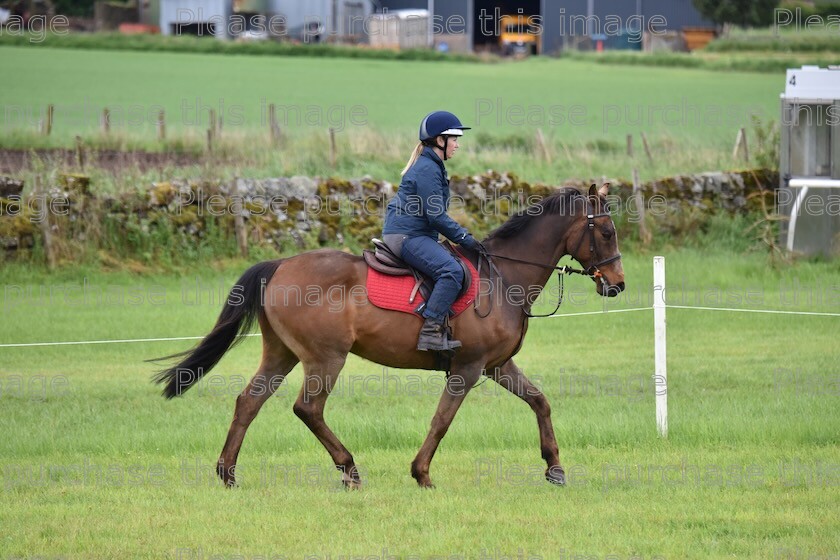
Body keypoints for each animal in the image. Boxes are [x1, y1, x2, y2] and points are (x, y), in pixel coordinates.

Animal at [154, 182, 624, 488]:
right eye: (606, 232)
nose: (617, 285)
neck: (503, 275)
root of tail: (281, 264)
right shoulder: (468, 367)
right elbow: (442, 420)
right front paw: (422, 475)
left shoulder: (497, 365)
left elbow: (540, 401)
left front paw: (554, 469)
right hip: (326, 358)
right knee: (308, 409)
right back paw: (349, 470)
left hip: (282, 354)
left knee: (249, 402)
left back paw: (228, 474)